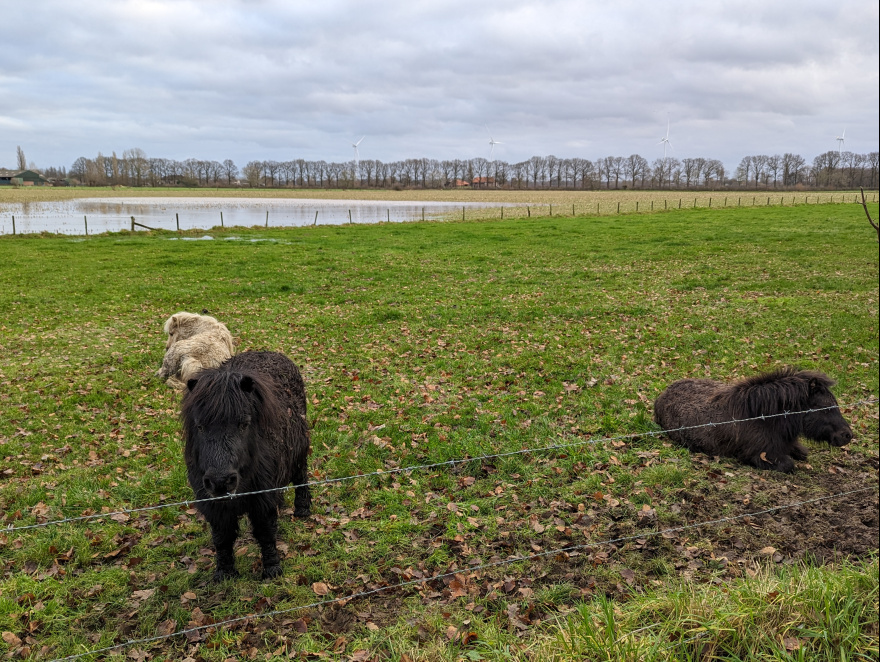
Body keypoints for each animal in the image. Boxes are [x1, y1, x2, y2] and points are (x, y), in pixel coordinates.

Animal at [180, 352, 312, 580]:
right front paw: (224, 573)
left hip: (299, 450)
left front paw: (272, 569)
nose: (220, 481)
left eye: (244, 424)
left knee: (300, 476)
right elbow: (222, 538)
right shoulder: (214, 506)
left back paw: (302, 509)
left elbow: (265, 532)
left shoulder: (262, 499)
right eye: (200, 426)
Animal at [652, 368, 852, 472]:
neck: (771, 421)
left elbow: (803, 452)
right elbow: (788, 464)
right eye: (823, 406)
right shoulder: (759, 454)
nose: (847, 435)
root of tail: (660, 397)